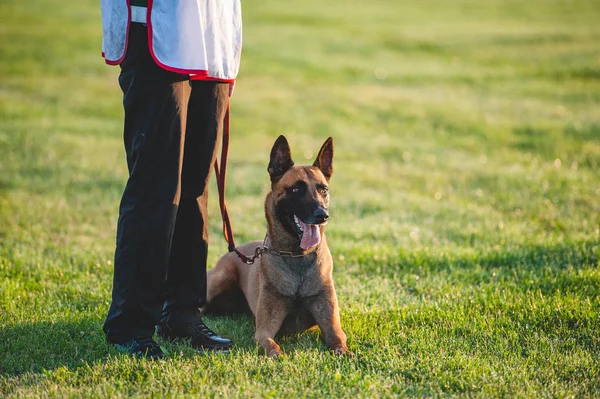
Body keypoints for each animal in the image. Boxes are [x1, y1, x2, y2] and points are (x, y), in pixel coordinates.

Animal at [205, 136, 352, 358]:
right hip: (219, 279)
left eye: (323, 189)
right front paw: (279, 356)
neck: (297, 256)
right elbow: (271, 346)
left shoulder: (331, 323)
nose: (322, 215)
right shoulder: (263, 331)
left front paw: (344, 352)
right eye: (296, 189)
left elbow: (337, 339)